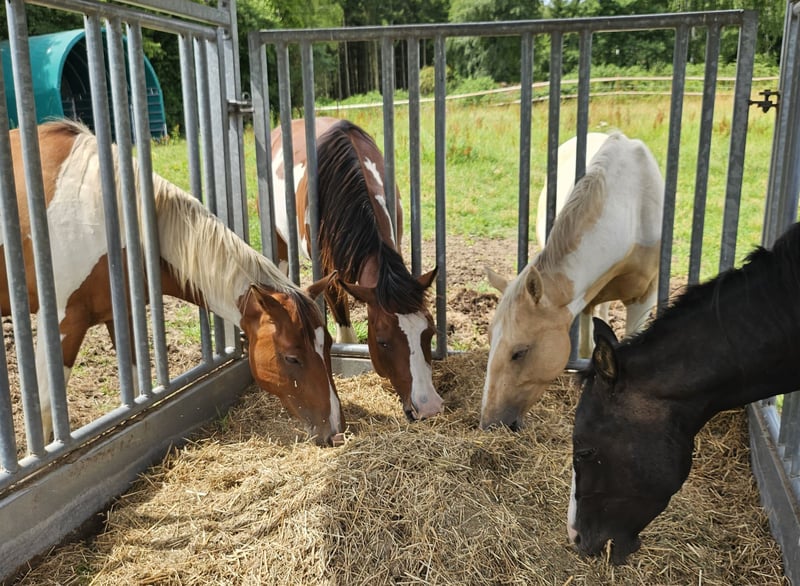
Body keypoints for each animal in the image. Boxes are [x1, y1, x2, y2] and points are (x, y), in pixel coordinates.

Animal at [2, 120, 344, 447]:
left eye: (328, 344)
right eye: (291, 358)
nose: (336, 431)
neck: (108, 220)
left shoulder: (122, 316)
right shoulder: (61, 322)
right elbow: (46, 414)